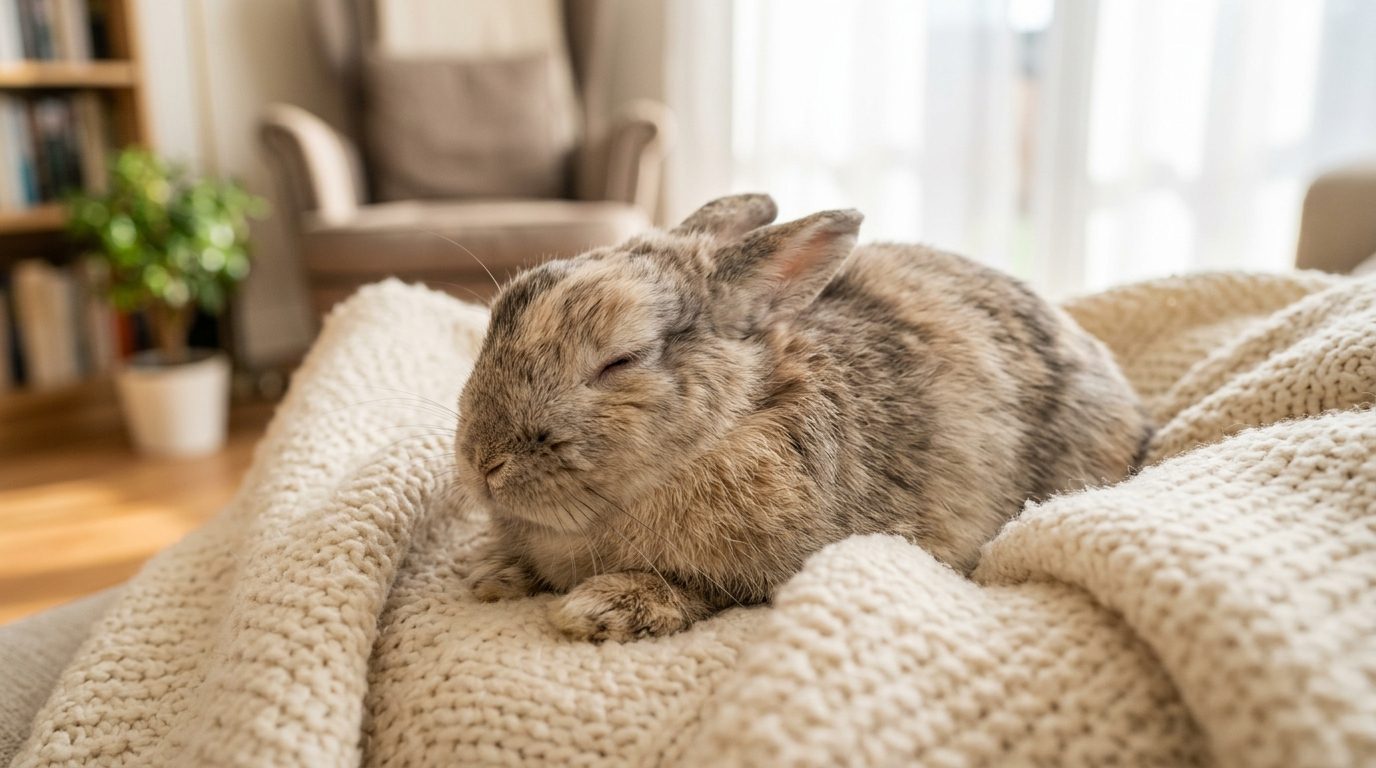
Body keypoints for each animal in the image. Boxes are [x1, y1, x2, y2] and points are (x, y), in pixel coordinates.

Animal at [456, 193, 1151, 642]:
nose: (482, 462)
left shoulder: (775, 571)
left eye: (620, 361)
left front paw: (601, 609)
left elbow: (704, 589)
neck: (730, 424)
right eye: (496, 317)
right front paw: (492, 572)